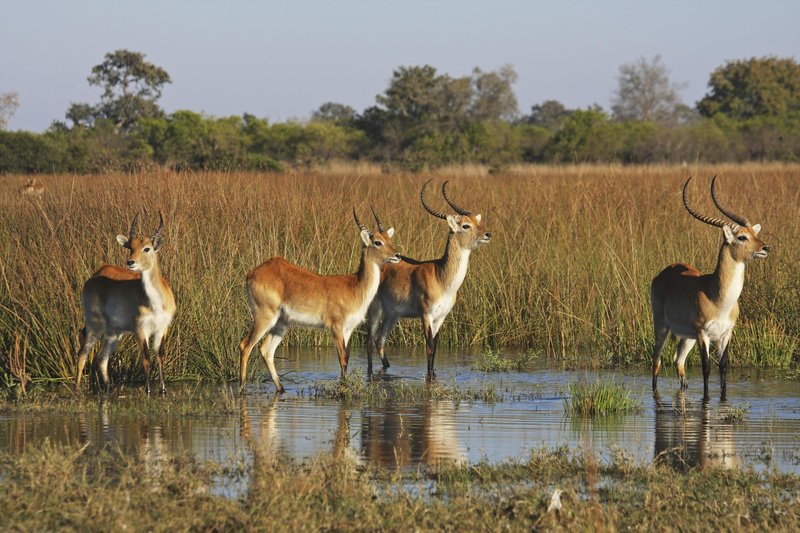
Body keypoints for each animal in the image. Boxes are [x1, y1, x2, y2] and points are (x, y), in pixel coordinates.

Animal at [75, 213, 177, 394]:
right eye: (131, 247)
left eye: (147, 248)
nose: (130, 262)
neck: (155, 304)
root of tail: (96, 275)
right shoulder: (140, 330)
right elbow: (146, 357)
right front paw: (148, 390)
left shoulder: (162, 328)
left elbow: (159, 355)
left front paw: (163, 389)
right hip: (95, 326)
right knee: (82, 354)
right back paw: (77, 389)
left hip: (114, 332)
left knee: (102, 357)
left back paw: (109, 388)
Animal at [238, 206, 400, 392]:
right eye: (377, 242)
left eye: (389, 238)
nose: (397, 255)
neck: (355, 287)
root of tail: (252, 273)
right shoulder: (336, 327)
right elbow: (342, 359)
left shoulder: (348, 329)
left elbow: (347, 357)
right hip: (264, 317)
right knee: (245, 346)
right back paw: (242, 389)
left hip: (281, 323)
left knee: (266, 350)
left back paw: (281, 389)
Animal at [368, 182, 490, 378]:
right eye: (465, 225)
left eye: (477, 221)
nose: (487, 234)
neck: (441, 276)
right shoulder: (426, 315)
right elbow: (429, 346)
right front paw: (429, 377)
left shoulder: (441, 316)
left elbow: (436, 346)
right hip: (375, 312)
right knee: (370, 341)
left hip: (392, 315)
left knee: (380, 341)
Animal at [648, 178, 768, 400]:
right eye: (742, 237)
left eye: (754, 234)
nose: (766, 248)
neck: (718, 298)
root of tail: (664, 272)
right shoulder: (703, 334)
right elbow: (706, 368)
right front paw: (706, 399)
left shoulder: (726, 334)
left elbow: (723, 367)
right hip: (661, 326)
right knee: (656, 360)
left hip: (687, 337)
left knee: (678, 360)